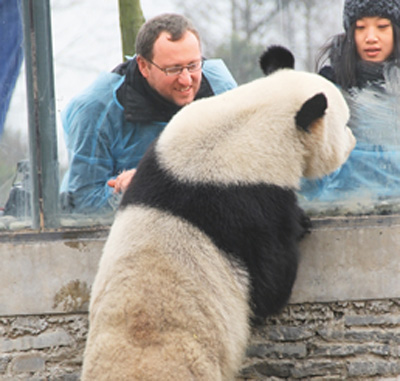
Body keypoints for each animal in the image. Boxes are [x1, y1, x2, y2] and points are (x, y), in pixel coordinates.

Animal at [82, 46, 356, 378]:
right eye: (344, 123)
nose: (353, 142)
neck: (253, 119)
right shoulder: (250, 202)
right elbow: (270, 282)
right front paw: (301, 225)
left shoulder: (160, 158)